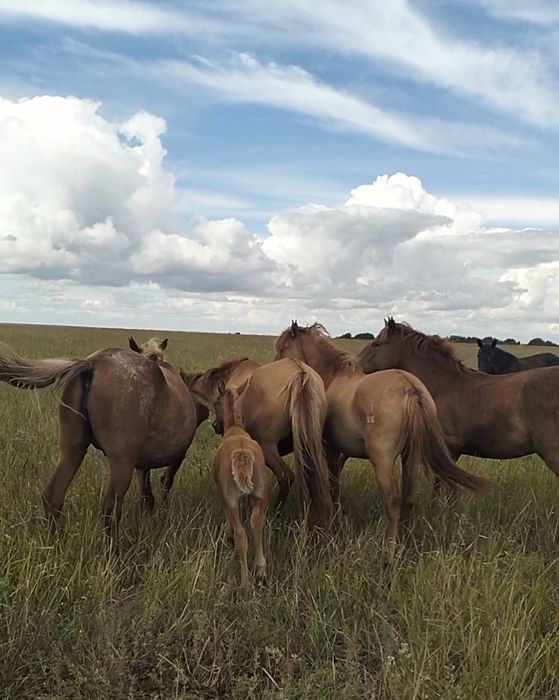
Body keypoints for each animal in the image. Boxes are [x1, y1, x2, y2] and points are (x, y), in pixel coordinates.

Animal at [0, 343, 208, 542]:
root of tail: (92, 363)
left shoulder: (142, 464)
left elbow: (146, 496)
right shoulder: (175, 457)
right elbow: (165, 483)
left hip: (71, 450)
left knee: (53, 496)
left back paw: (55, 544)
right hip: (122, 461)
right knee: (110, 509)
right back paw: (114, 553)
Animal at [188, 356, 333, 530]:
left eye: (216, 402)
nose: (217, 426)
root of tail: (300, 373)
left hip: (268, 448)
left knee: (285, 476)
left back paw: (275, 514)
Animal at [212, 379, 270, 588]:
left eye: (215, 401)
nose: (216, 425)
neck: (235, 429)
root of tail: (243, 455)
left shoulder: (225, 497)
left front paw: (225, 535)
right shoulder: (250, 496)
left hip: (231, 499)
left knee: (241, 534)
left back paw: (244, 583)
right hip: (261, 494)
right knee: (257, 522)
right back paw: (261, 570)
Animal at [275, 322, 491, 560]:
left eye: (283, 348)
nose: (276, 370)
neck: (332, 376)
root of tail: (410, 388)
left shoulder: (329, 451)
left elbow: (333, 489)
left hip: (383, 460)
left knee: (394, 501)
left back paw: (388, 553)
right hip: (410, 457)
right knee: (407, 499)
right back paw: (403, 544)